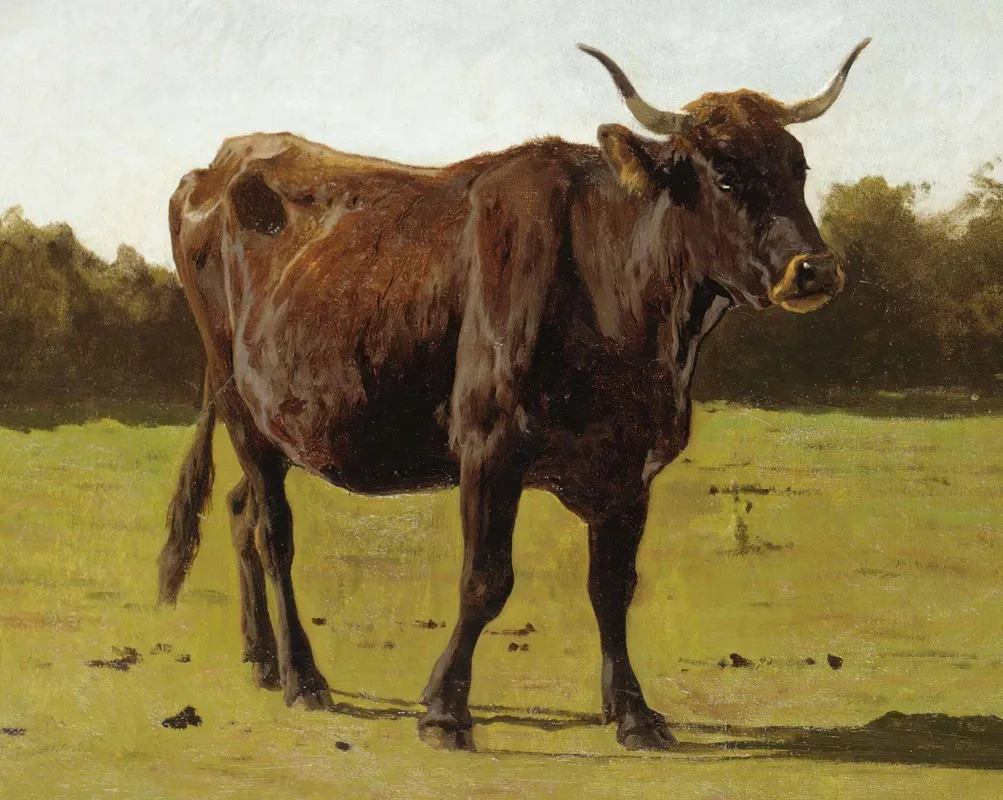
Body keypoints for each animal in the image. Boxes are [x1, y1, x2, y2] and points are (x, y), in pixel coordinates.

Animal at [157, 40, 869, 751]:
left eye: (799, 167)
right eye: (724, 174)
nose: (815, 269)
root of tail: (223, 164)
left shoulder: (630, 468)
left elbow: (612, 588)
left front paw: (634, 713)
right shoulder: (488, 446)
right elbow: (485, 580)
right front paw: (444, 710)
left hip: (276, 426)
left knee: (240, 512)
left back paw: (262, 661)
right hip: (240, 406)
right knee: (273, 533)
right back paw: (303, 680)